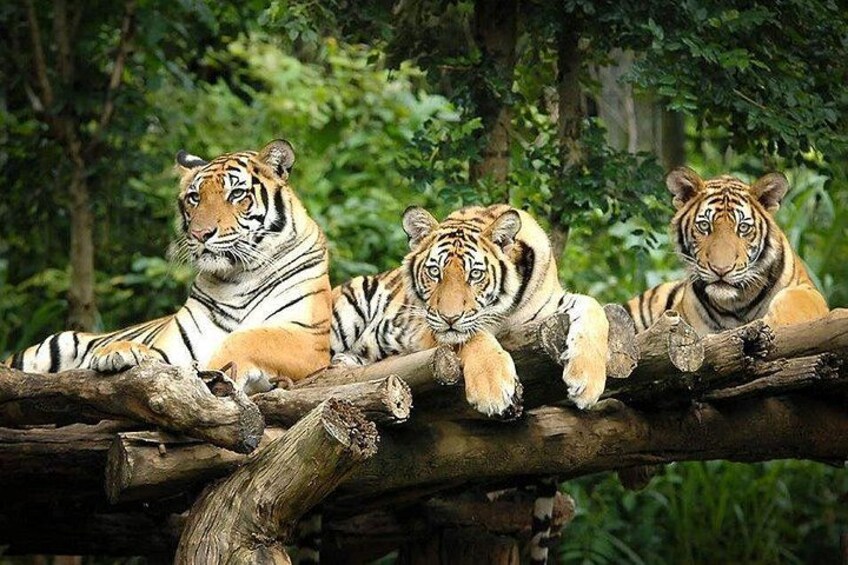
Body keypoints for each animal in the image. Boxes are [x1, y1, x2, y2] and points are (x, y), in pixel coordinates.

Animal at [6, 139, 332, 393]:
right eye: (195, 197)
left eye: (237, 194)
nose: (200, 234)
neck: (240, 275)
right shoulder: (176, 345)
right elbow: (158, 356)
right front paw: (118, 351)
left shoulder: (308, 338)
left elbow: (248, 338)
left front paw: (217, 371)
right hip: (49, 347)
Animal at [331, 204, 612, 564]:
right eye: (434, 272)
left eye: (475, 274)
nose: (449, 316)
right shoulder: (428, 327)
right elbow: (473, 334)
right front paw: (494, 391)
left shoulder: (552, 307)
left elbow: (592, 306)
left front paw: (587, 382)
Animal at [626, 167, 829, 335]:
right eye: (704, 226)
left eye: (743, 227)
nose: (721, 270)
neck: (736, 304)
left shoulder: (810, 292)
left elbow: (793, 302)